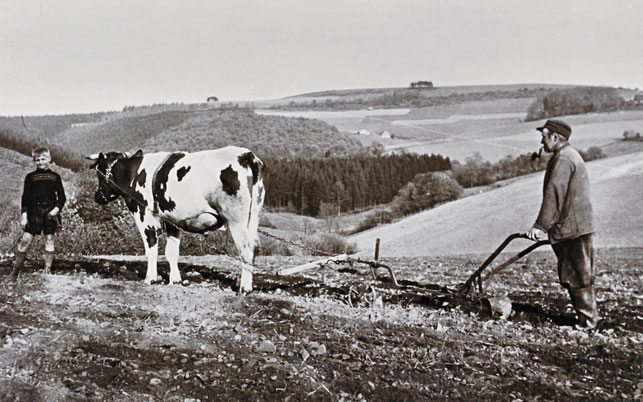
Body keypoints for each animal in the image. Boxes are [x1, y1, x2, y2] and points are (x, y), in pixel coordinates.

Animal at [87, 146, 265, 292]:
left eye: (99, 174)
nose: (97, 197)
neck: (133, 175)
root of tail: (246, 155)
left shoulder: (144, 216)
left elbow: (150, 249)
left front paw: (150, 278)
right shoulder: (172, 220)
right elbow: (172, 252)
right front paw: (175, 280)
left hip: (235, 219)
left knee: (246, 247)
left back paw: (245, 288)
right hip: (253, 216)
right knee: (255, 246)